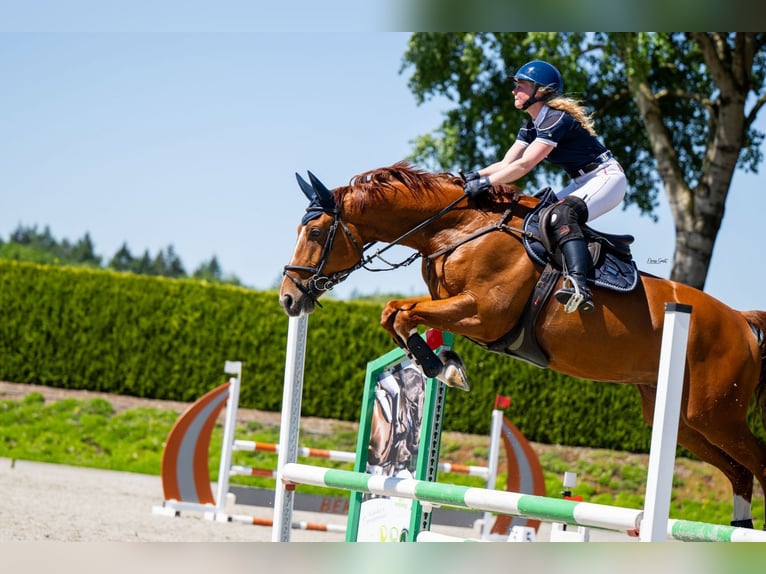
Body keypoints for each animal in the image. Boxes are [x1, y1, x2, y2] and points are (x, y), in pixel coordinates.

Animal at [279, 161, 766, 529]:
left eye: (317, 233)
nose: (288, 298)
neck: (456, 228)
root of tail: (741, 323)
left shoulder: (483, 311)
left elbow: (399, 311)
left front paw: (443, 368)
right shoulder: (463, 312)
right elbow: (397, 315)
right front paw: (447, 364)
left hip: (715, 414)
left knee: (757, 463)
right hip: (685, 420)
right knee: (741, 472)